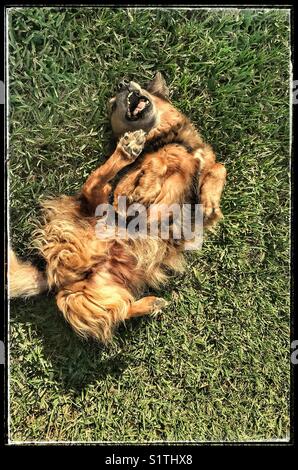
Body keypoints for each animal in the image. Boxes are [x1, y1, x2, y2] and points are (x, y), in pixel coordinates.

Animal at [9, 72, 226, 342]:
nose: (122, 83)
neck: (166, 137)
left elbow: (218, 168)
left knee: (117, 310)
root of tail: (53, 273)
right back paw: (127, 149)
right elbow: (159, 162)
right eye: (113, 105)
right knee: (92, 183)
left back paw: (150, 304)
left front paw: (210, 202)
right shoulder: (123, 189)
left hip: (102, 287)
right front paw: (146, 186)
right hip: (99, 208)